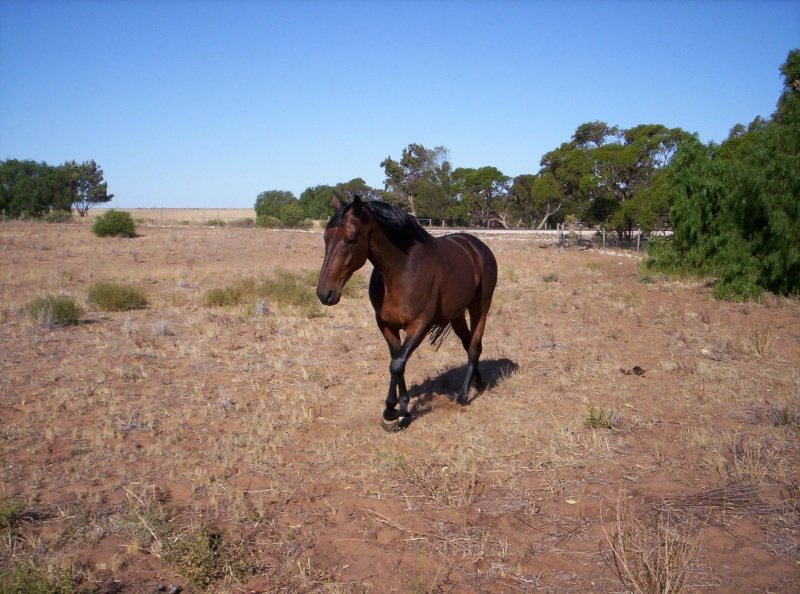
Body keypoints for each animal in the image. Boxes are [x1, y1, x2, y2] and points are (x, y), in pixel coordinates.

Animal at [316, 195, 496, 430]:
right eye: (326, 237)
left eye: (351, 239)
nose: (324, 293)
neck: (401, 272)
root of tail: (477, 246)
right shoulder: (386, 325)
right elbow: (397, 361)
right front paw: (402, 410)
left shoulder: (420, 325)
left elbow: (397, 364)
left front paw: (391, 412)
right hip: (456, 315)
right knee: (469, 343)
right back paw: (480, 383)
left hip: (480, 307)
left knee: (475, 346)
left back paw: (464, 395)